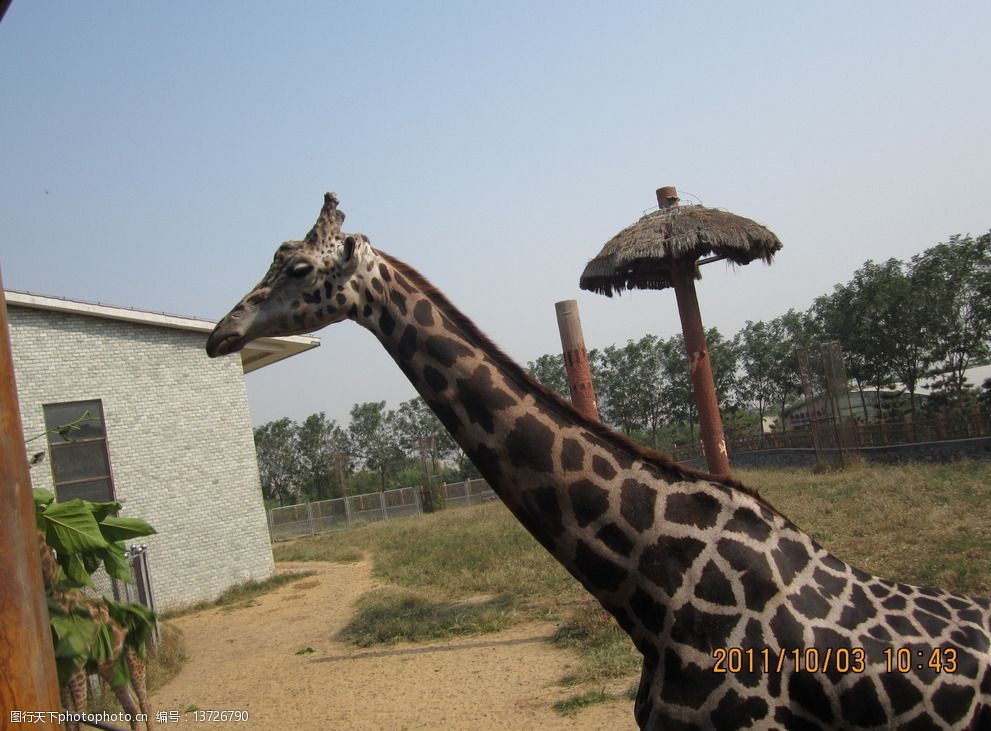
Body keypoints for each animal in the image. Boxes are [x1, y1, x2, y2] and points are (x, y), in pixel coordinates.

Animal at [37, 532, 154, 731]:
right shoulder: (61, 674)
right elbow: (67, 720)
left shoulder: (76, 669)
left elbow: (79, 718)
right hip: (111, 667)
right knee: (131, 706)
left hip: (134, 658)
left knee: (145, 704)